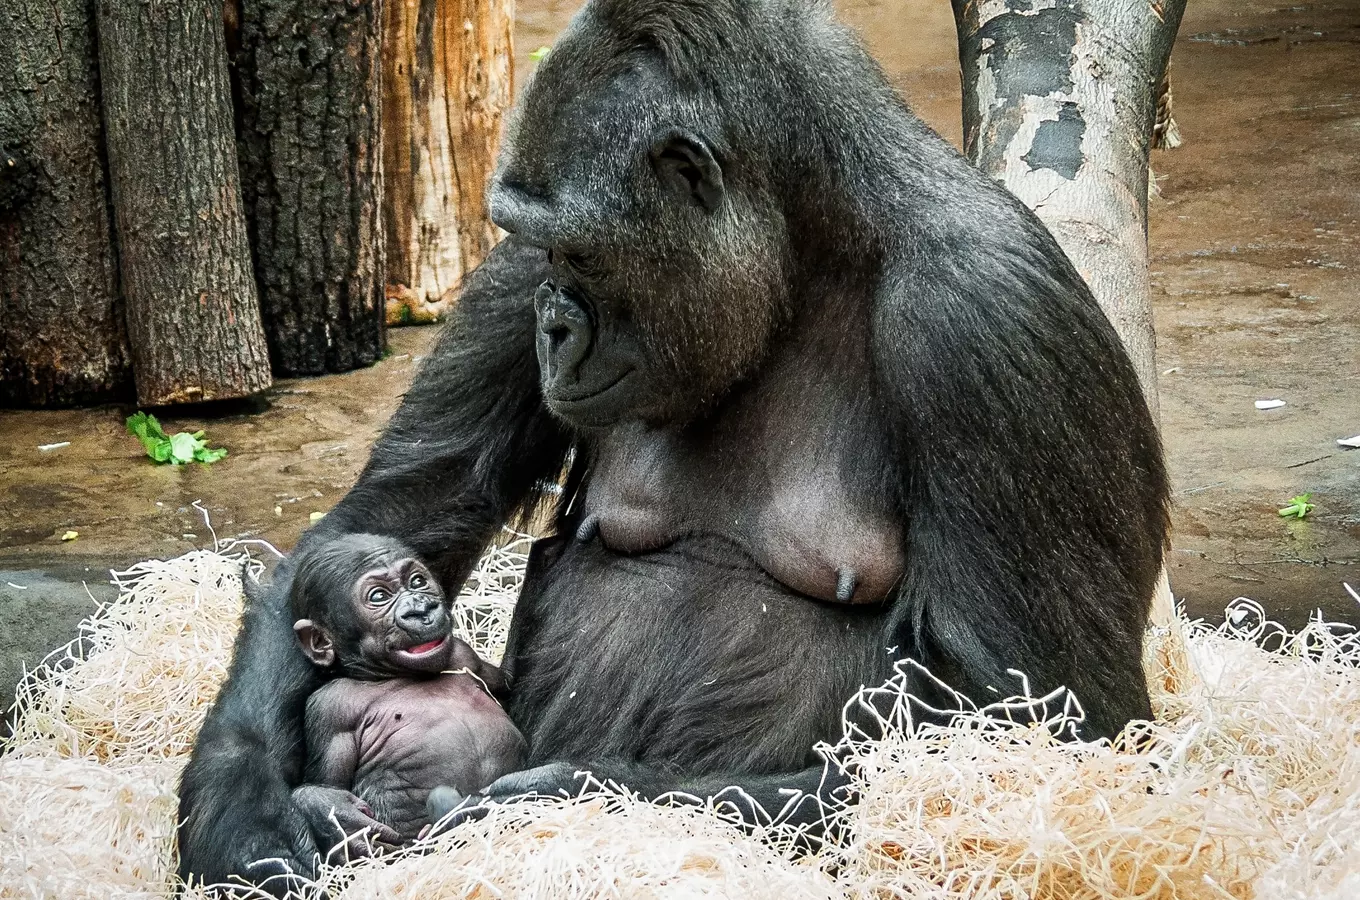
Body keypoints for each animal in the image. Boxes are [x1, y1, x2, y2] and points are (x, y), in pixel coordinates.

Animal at [286, 535, 524, 853]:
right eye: (378, 596)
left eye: (417, 581)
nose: (420, 609)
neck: (393, 673)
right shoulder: (330, 709)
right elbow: (330, 781)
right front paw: (330, 809)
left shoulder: (465, 655)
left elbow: (503, 684)